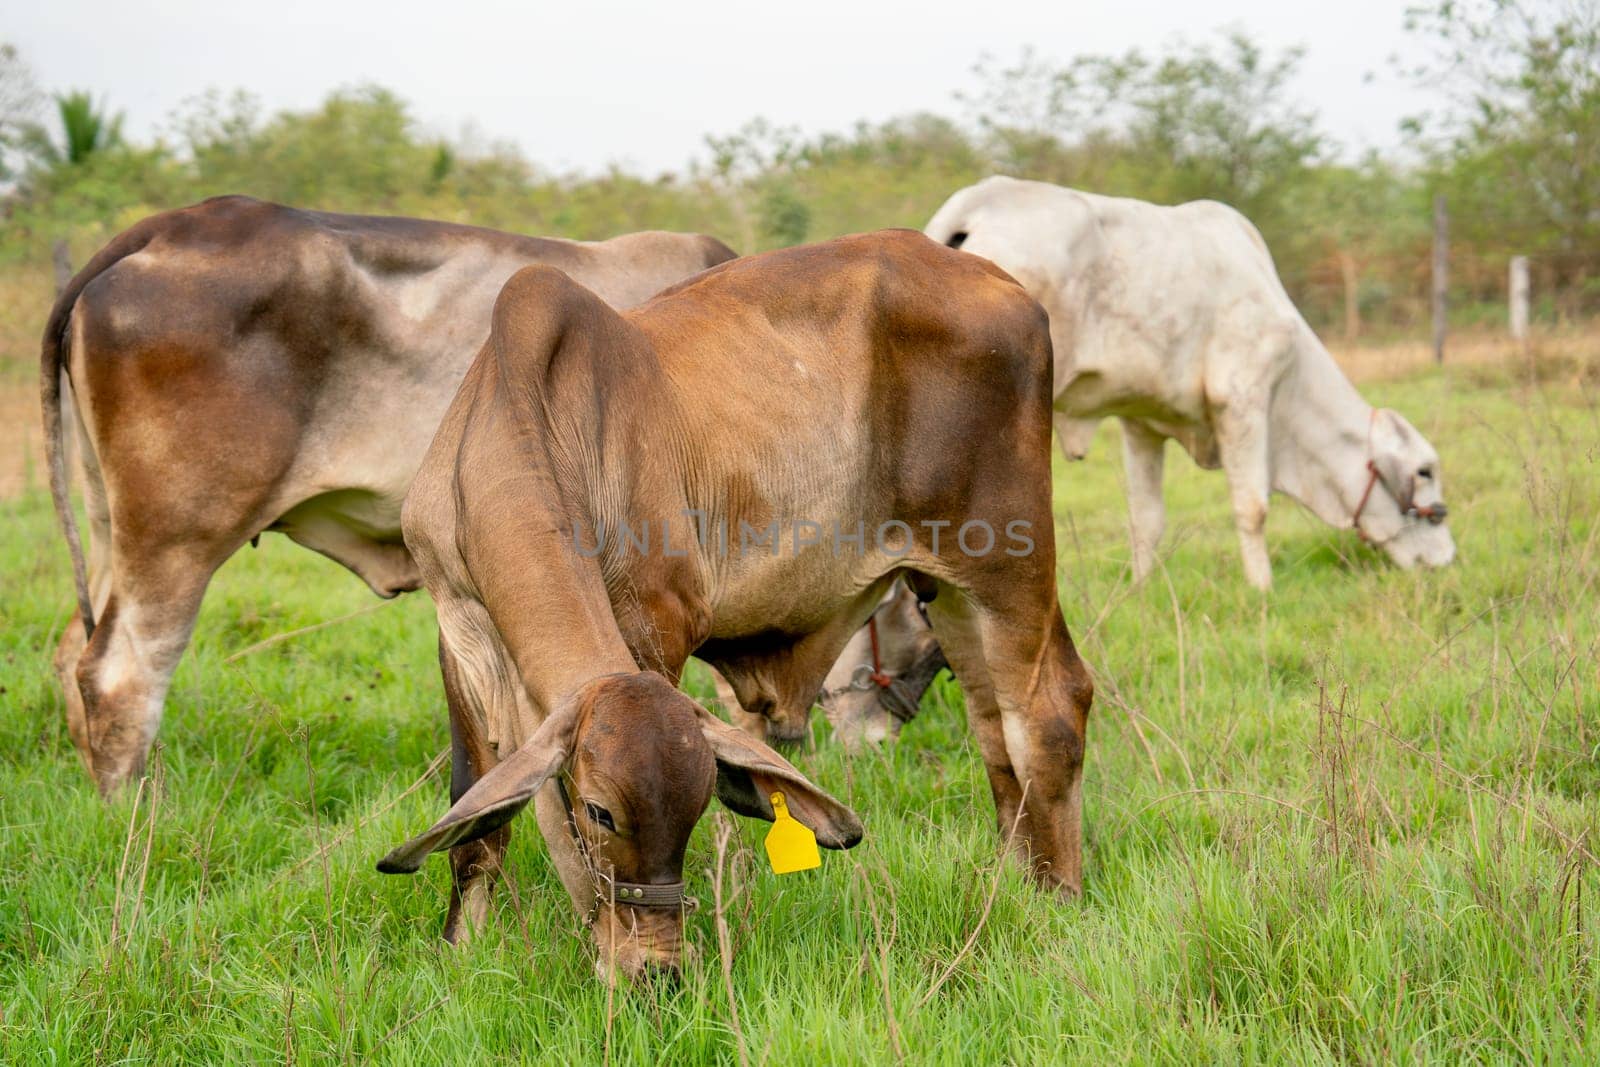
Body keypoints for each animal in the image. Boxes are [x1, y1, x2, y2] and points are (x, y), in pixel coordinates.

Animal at [40, 195, 732, 796]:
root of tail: (172, 225)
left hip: (108, 523)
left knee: (74, 651)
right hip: (179, 536)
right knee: (121, 674)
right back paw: (135, 814)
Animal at [380, 230, 1094, 979]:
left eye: (697, 806)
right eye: (600, 812)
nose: (657, 970)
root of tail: (1001, 281)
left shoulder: (659, 624)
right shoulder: (457, 634)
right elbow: (473, 829)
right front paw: (461, 951)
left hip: (1006, 562)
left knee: (1047, 712)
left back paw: (1057, 897)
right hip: (948, 588)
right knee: (992, 726)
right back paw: (1014, 879)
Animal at [921, 177, 1459, 591]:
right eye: (1425, 471)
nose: (1447, 561)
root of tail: (972, 208)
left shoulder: (1139, 422)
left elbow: (1146, 520)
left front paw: (1140, 589)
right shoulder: (1241, 401)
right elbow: (1252, 508)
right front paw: (1262, 589)